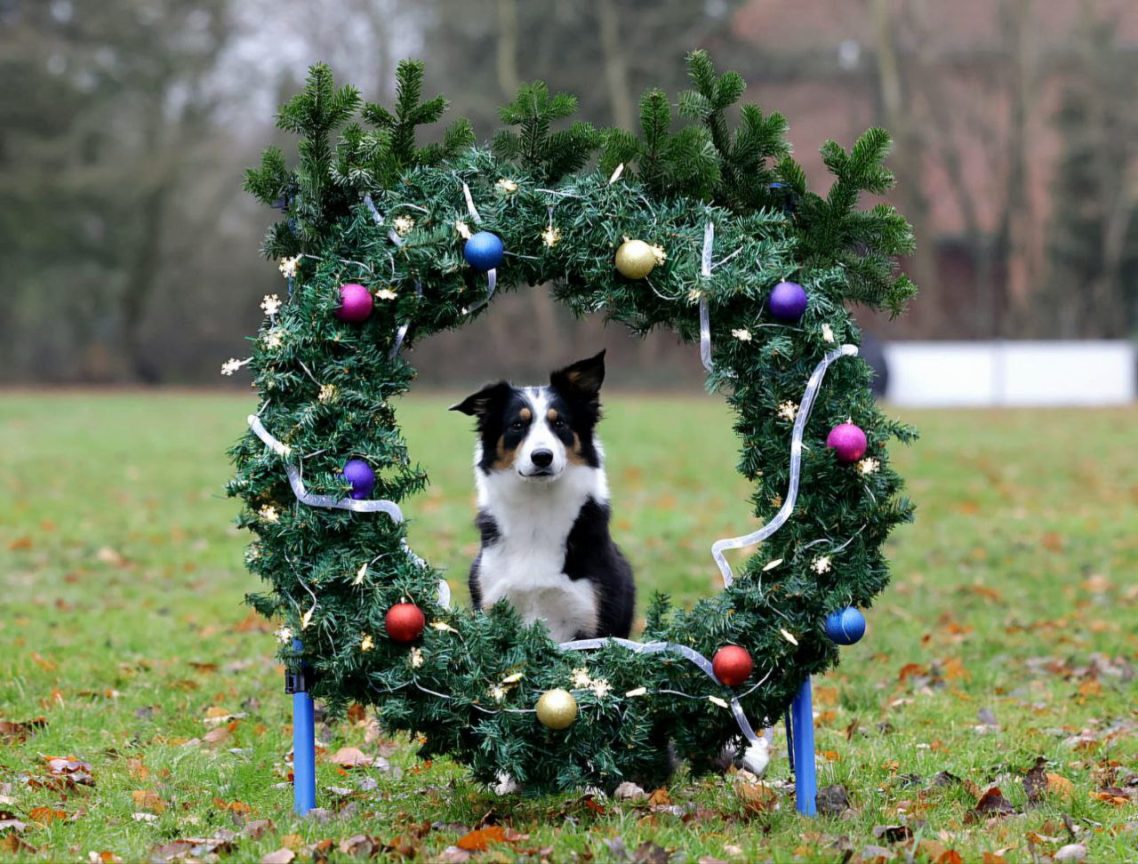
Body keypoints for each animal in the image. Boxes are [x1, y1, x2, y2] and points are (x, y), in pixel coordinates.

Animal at [450, 350, 635, 643]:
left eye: (559, 423)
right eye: (517, 425)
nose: (542, 457)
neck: (536, 506)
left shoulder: (591, 624)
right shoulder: (492, 604)